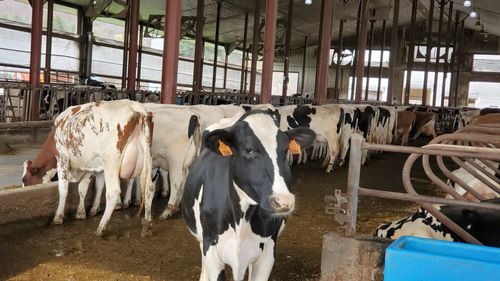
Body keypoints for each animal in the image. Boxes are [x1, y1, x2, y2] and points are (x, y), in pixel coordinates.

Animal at [51, 99, 154, 235]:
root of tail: (135, 107)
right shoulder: (88, 165)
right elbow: (83, 188)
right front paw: (81, 213)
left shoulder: (61, 156)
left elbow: (63, 189)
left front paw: (58, 217)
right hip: (148, 158)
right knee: (149, 188)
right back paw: (147, 224)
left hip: (111, 160)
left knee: (113, 192)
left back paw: (101, 227)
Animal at [182, 109, 314, 280]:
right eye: (248, 149)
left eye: (286, 150)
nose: (283, 201)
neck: (242, 218)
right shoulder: (210, 247)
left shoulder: (268, 251)